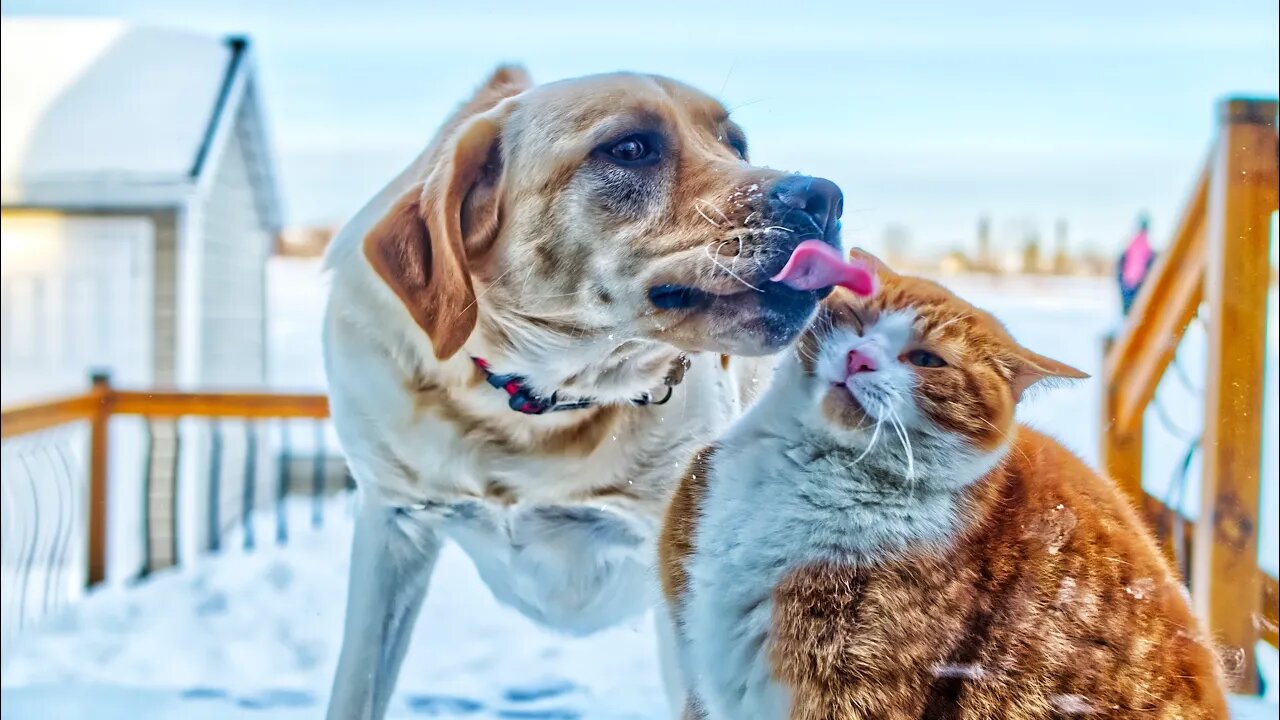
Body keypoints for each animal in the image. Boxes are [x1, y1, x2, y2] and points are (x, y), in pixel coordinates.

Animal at [320, 67, 844, 717]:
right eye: (630, 148)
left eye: (737, 144)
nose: (826, 197)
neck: (541, 406)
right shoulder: (392, 525)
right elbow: (357, 685)